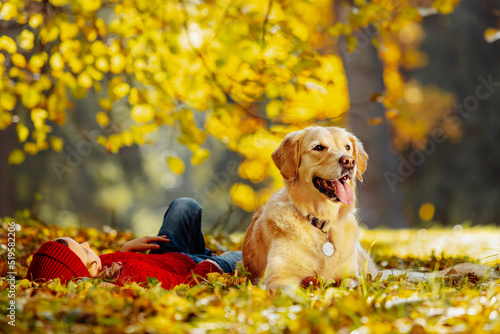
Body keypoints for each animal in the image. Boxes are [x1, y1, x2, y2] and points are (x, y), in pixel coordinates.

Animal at [242, 126, 378, 288]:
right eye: (318, 147)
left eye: (347, 147)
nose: (349, 161)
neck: (322, 222)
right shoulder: (277, 277)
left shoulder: (353, 276)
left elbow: (349, 286)